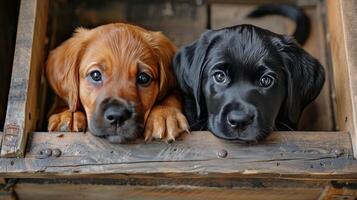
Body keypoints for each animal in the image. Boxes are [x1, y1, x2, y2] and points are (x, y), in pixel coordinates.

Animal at [46, 23, 188, 142]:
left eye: (143, 78)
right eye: (95, 75)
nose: (117, 116)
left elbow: (171, 95)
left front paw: (165, 114)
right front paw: (67, 115)